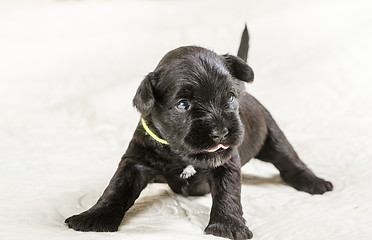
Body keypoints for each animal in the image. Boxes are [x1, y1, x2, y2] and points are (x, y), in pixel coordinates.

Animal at [65, 26, 332, 240]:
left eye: (230, 96)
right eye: (183, 104)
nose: (221, 132)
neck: (179, 153)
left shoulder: (226, 162)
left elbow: (227, 193)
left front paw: (227, 225)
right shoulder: (135, 162)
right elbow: (116, 189)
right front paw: (94, 217)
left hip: (272, 136)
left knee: (289, 161)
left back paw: (314, 182)